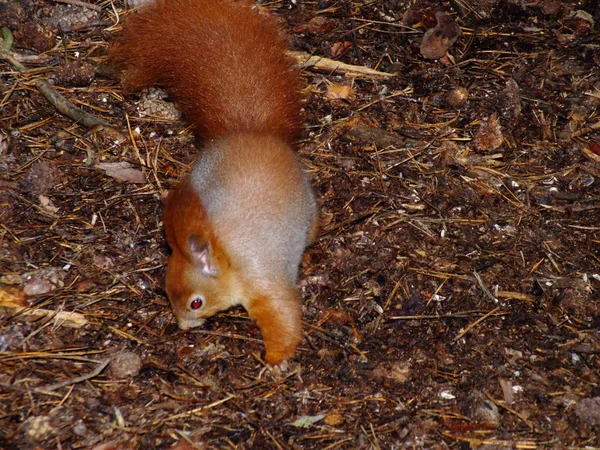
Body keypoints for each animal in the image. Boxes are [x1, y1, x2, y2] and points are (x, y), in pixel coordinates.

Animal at [110, 0, 322, 366]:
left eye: (196, 302)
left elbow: (283, 315)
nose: (183, 326)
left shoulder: (262, 279)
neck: (228, 259)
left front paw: (276, 361)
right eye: (165, 289)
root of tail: (253, 131)